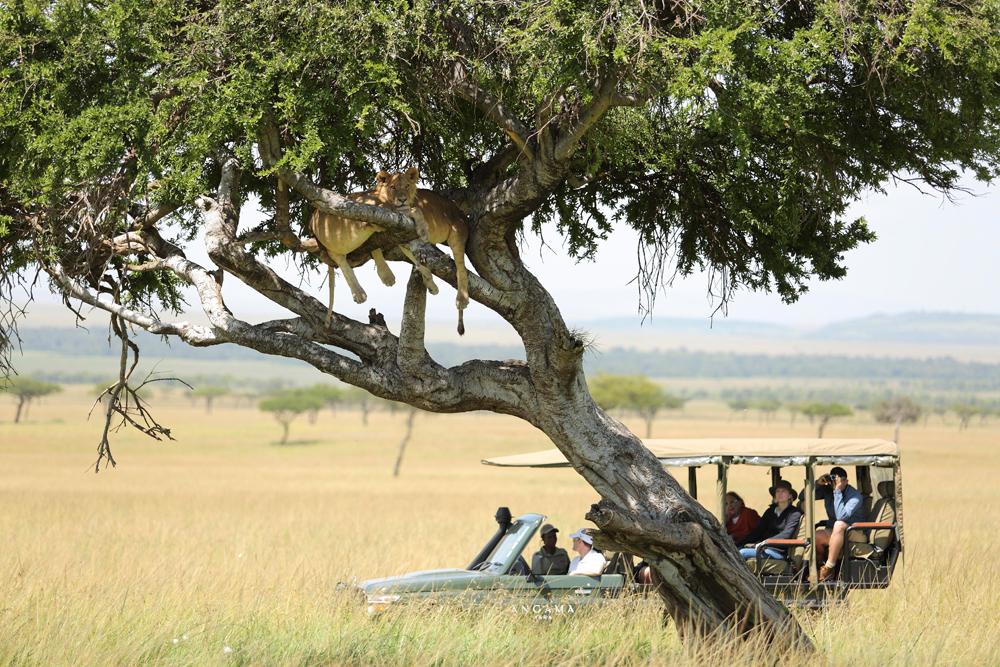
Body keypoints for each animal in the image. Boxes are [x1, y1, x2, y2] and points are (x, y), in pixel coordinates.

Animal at [309, 168, 470, 335]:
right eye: (393, 187)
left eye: (406, 186)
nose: (402, 199)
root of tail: (313, 219)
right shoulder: (384, 215)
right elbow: (414, 210)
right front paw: (423, 230)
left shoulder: (398, 230)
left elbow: (414, 253)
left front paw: (429, 280)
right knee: (339, 257)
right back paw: (360, 293)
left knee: (461, 268)